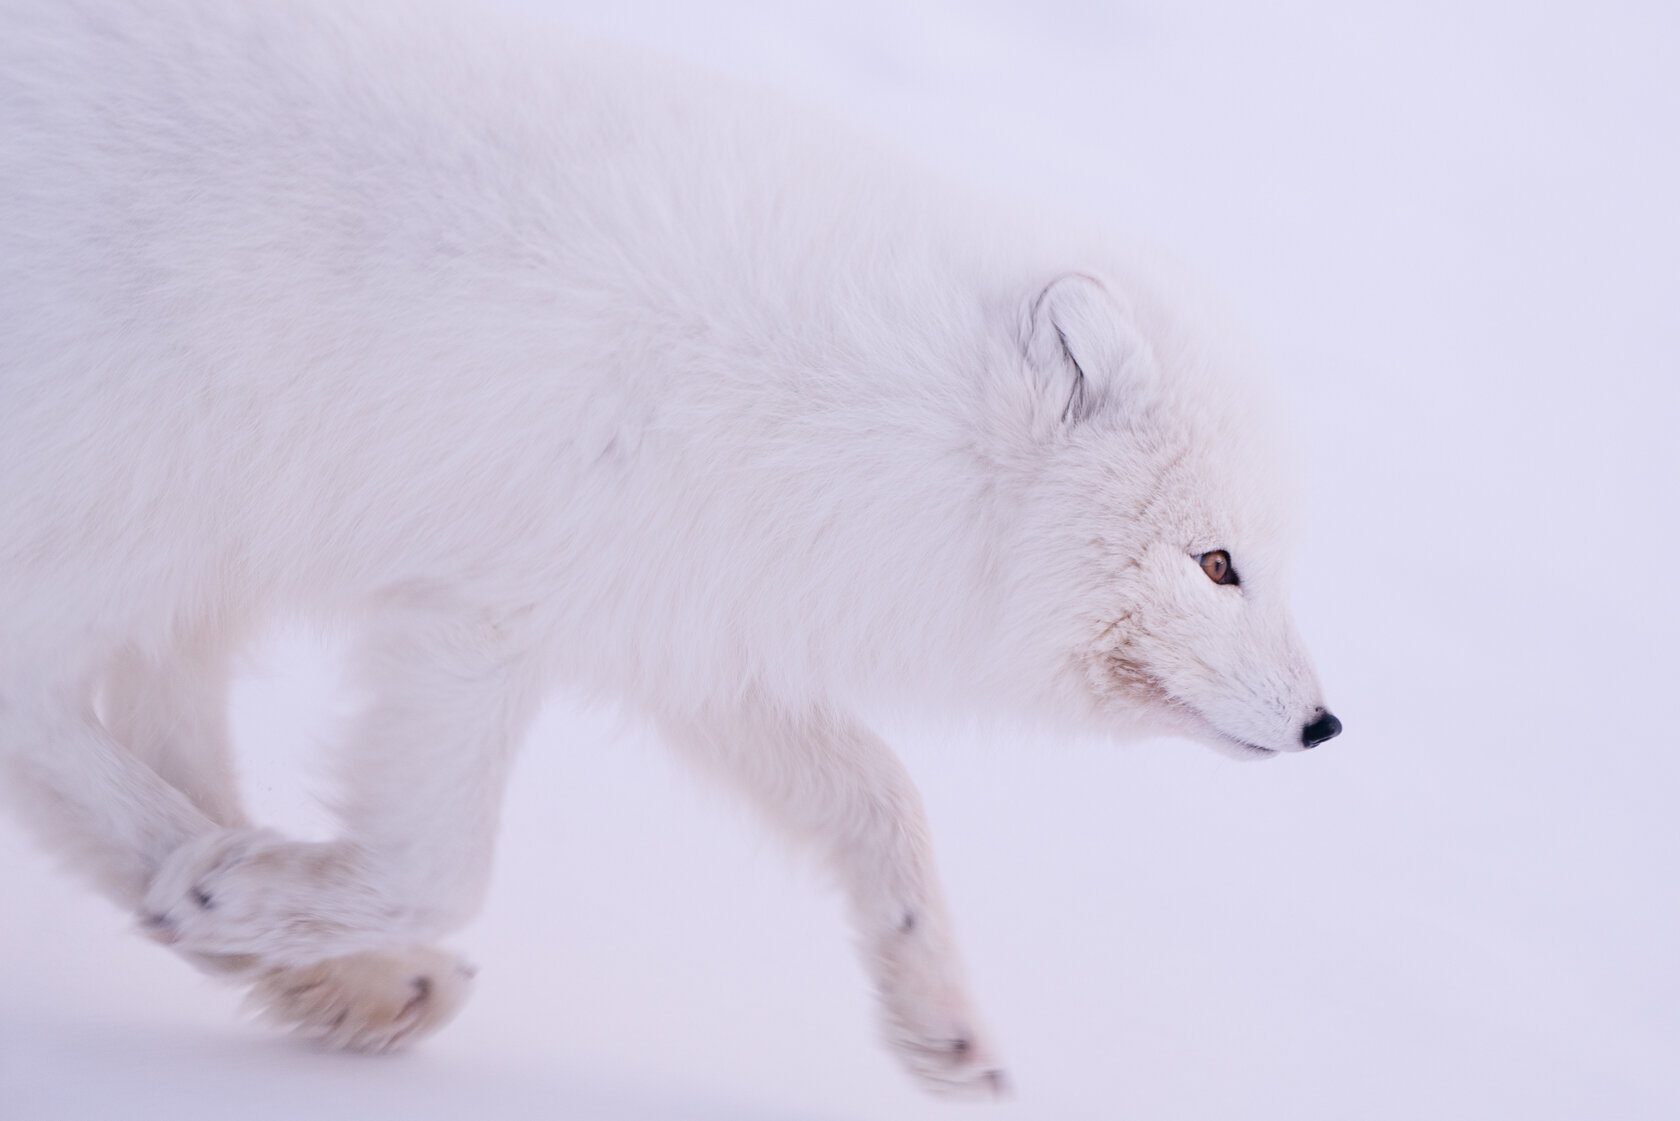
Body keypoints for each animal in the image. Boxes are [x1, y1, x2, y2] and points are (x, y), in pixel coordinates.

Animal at [0, 0, 1337, 1095]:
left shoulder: (698, 633)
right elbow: (442, 864)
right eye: (1216, 564)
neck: (859, 406)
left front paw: (940, 1023)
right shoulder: (479, 616)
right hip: (162, 501)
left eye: (1260, 562)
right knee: (39, 697)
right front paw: (238, 890)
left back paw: (324, 962)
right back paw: (234, 894)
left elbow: (882, 800)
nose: (1326, 726)